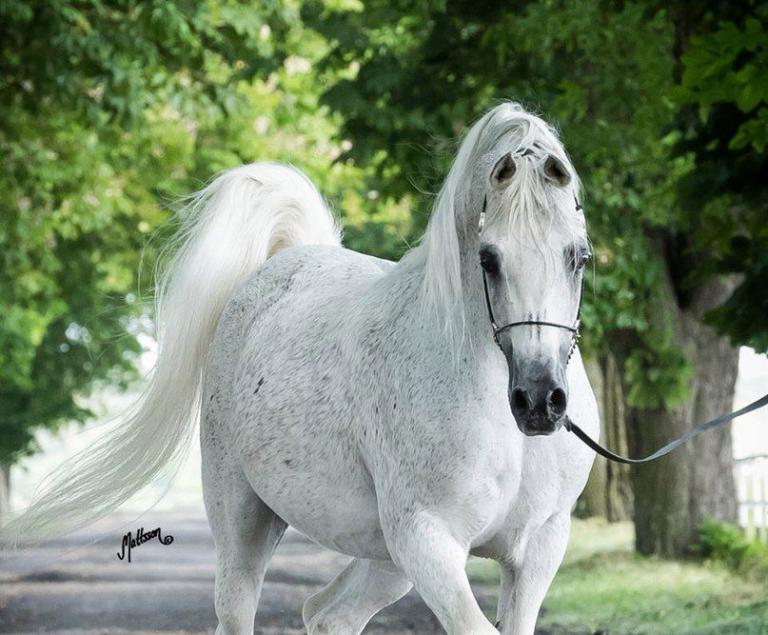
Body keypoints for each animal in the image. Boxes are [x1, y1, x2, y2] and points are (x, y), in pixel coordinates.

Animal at [2, 102, 599, 634]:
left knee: (327, 615)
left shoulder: (537, 550)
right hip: (248, 526)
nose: (539, 401)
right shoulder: (429, 540)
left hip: (384, 561)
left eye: (579, 255)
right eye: (488, 258)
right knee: (241, 613)